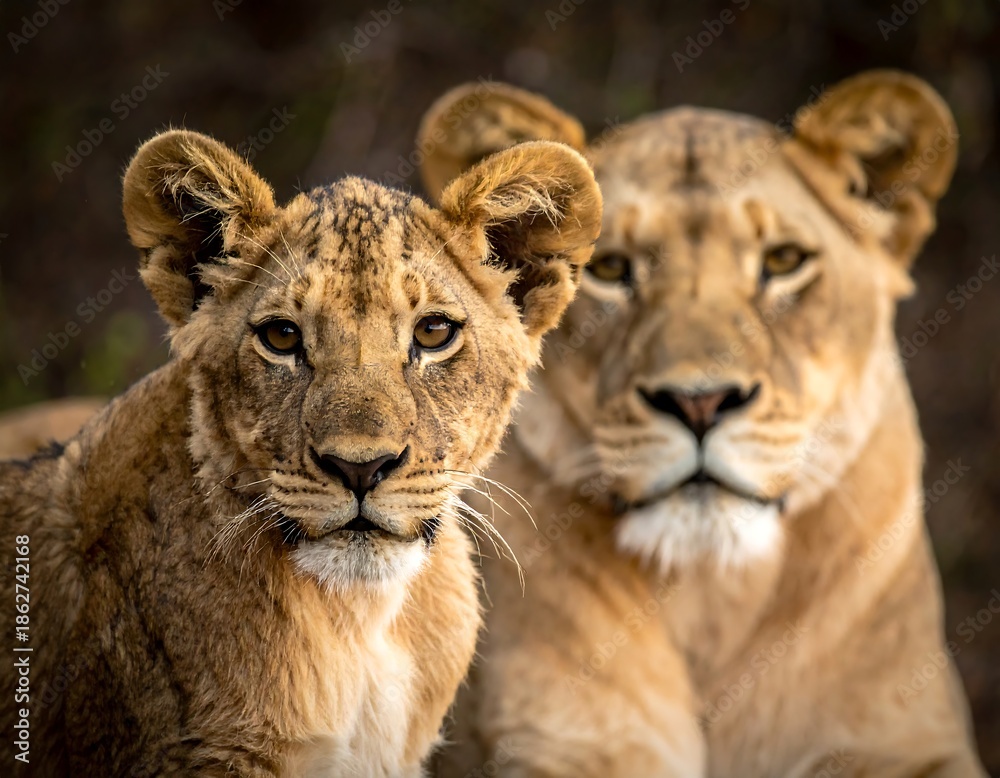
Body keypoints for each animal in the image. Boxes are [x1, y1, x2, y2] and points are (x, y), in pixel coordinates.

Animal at [418, 72, 986, 776]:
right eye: (611, 270)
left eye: (784, 260)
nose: (700, 403)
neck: (712, 596)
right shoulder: (558, 744)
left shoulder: (906, 741)